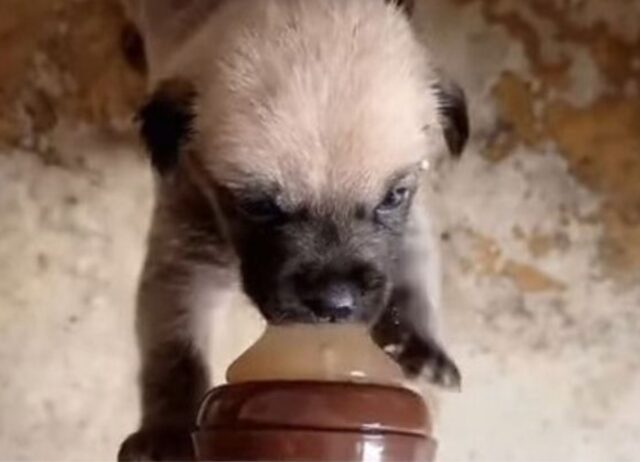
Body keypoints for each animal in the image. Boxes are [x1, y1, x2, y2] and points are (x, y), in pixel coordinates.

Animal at [120, 1, 468, 460]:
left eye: (393, 197)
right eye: (259, 206)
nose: (335, 304)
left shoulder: (411, 219)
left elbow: (413, 276)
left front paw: (419, 344)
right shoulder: (185, 255)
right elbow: (174, 349)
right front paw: (168, 430)